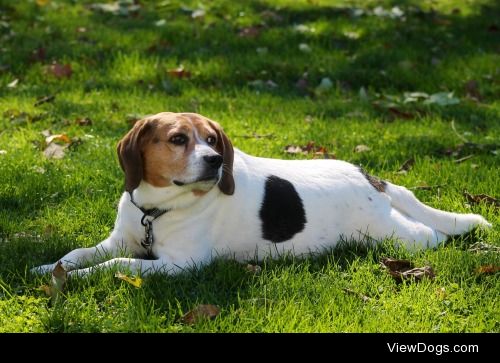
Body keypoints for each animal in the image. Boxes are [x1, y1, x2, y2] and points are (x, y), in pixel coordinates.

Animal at [32, 112, 492, 278]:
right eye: (178, 139)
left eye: (212, 139)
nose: (216, 160)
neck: (156, 208)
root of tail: (371, 178)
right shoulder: (119, 238)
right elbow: (75, 254)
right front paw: (48, 269)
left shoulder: (181, 264)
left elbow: (115, 265)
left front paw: (77, 278)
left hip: (394, 235)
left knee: (432, 234)